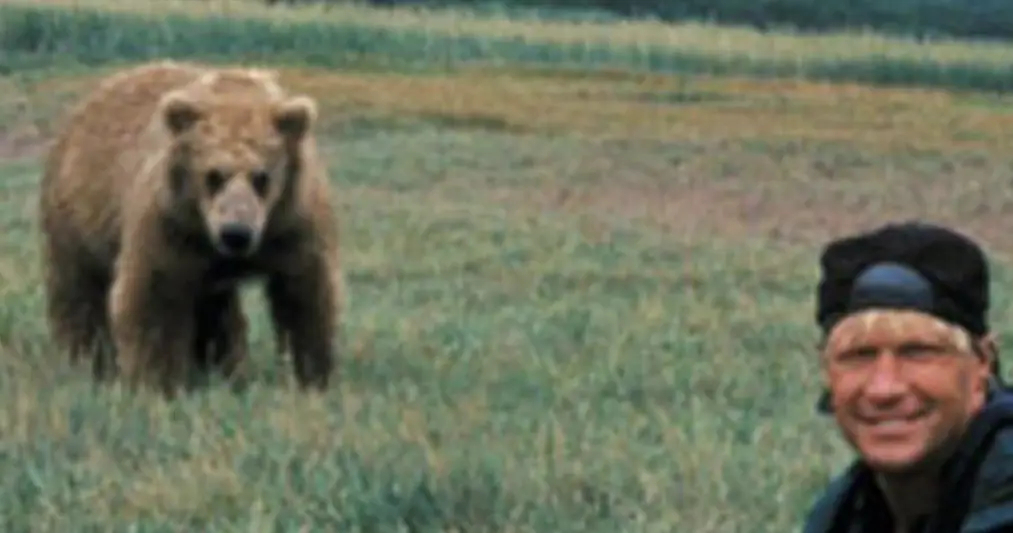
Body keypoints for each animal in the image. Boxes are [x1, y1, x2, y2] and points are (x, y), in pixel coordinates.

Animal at [38, 60, 342, 397]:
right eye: (213, 175)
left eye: (261, 177)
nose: (236, 233)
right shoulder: (171, 224)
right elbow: (154, 297)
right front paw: (157, 382)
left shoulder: (294, 224)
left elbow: (305, 294)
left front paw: (312, 376)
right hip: (78, 219)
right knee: (79, 292)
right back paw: (87, 359)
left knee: (216, 312)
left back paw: (222, 368)